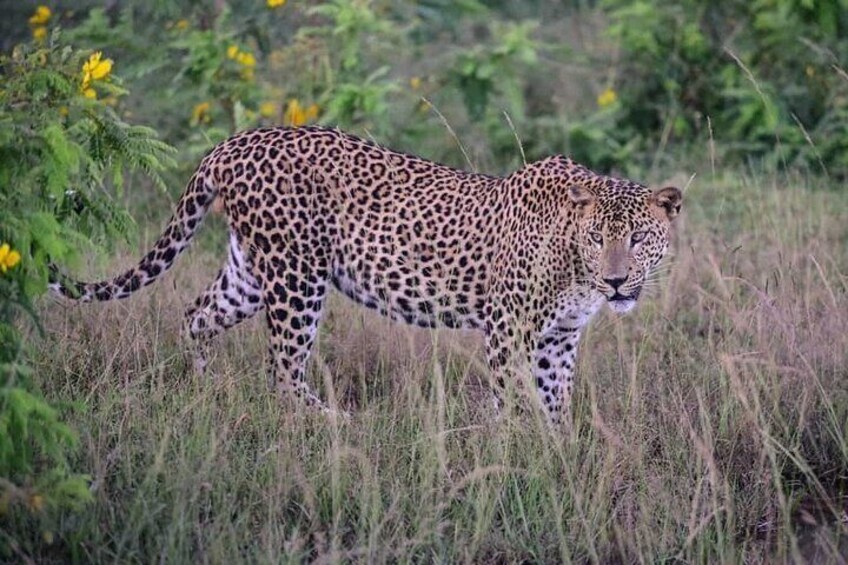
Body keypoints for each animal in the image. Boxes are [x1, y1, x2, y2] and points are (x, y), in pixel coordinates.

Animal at [51, 125, 682, 425]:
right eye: (599, 239)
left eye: (638, 240)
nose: (617, 284)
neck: (575, 268)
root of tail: (235, 142)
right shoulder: (508, 328)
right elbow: (513, 395)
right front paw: (512, 452)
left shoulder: (560, 336)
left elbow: (555, 400)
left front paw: (557, 451)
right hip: (296, 277)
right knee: (282, 369)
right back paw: (334, 424)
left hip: (251, 273)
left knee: (197, 315)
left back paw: (206, 394)